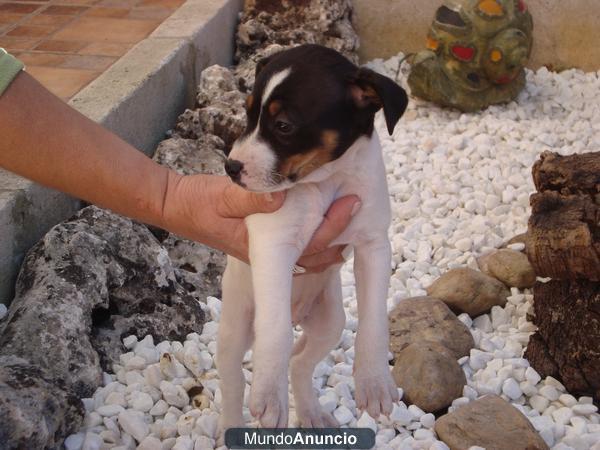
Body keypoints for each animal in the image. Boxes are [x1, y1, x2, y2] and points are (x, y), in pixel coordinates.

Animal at [216, 44, 408, 432]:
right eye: (247, 114)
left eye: (284, 125)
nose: (230, 168)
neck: (325, 181)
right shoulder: (274, 246)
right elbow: (275, 332)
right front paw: (269, 394)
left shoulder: (374, 245)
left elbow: (374, 321)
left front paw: (374, 380)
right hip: (235, 327)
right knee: (232, 381)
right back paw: (230, 425)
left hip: (328, 322)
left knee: (300, 361)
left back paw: (311, 413)